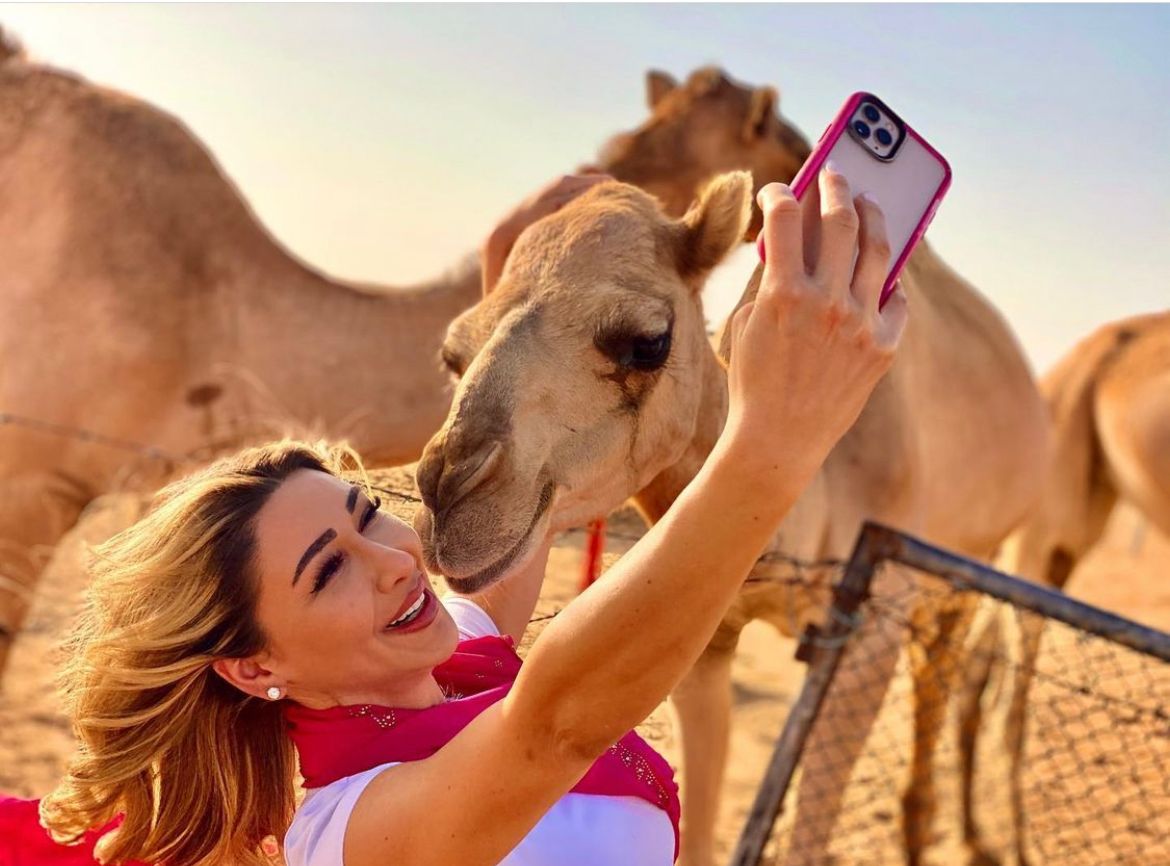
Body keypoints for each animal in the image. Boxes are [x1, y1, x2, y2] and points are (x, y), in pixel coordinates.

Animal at [416, 154, 1048, 866]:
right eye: (452, 356)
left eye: (647, 342)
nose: (448, 495)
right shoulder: (711, 639)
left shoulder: (869, 628)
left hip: (964, 572)